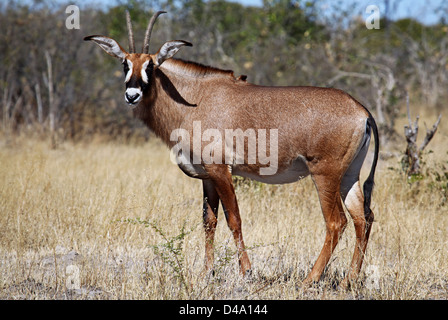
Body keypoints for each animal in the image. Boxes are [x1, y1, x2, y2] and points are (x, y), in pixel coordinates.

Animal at [84, 10, 378, 288]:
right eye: (125, 63)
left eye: (152, 65)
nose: (132, 95)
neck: (195, 98)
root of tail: (361, 111)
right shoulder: (207, 176)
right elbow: (209, 221)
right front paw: (207, 273)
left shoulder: (221, 170)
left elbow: (234, 219)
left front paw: (246, 271)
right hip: (349, 175)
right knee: (363, 218)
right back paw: (349, 280)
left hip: (325, 174)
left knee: (336, 222)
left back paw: (310, 279)